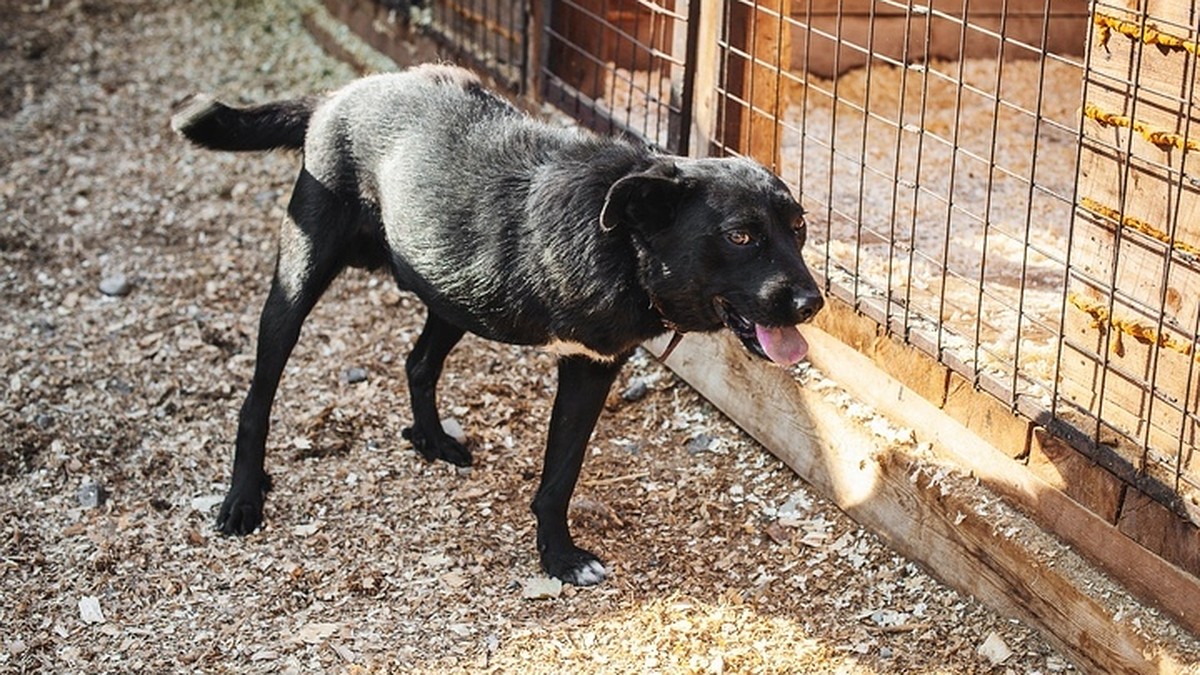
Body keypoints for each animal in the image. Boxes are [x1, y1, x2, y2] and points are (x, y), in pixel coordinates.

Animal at [171, 64, 825, 583]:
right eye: (740, 236)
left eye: (798, 229)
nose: (811, 304)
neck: (623, 241)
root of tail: (340, 95)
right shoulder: (584, 359)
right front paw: (560, 561)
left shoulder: (593, 367)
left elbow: (562, 472)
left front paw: (558, 555)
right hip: (300, 279)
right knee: (258, 395)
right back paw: (243, 497)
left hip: (452, 291)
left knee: (418, 363)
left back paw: (432, 440)